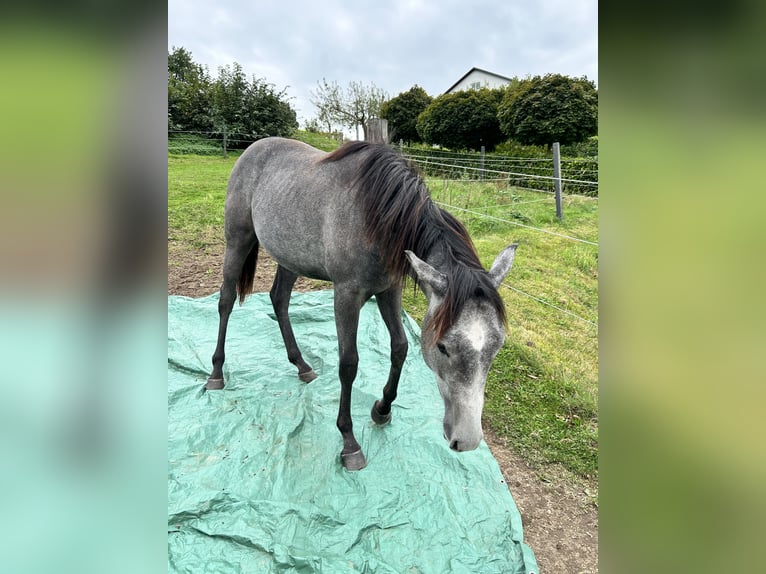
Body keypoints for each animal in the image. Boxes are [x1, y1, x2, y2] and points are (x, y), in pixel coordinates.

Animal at [207, 137, 517, 471]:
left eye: (496, 347)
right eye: (443, 347)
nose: (467, 440)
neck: (379, 219)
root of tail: (252, 149)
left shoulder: (389, 291)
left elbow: (400, 347)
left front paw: (382, 408)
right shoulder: (347, 294)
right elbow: (349, 363)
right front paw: (349, 442)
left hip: (289, 256)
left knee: (279, 300)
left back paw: (302, 366)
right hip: (237, 240)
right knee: (226, 301)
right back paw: (216, 374)